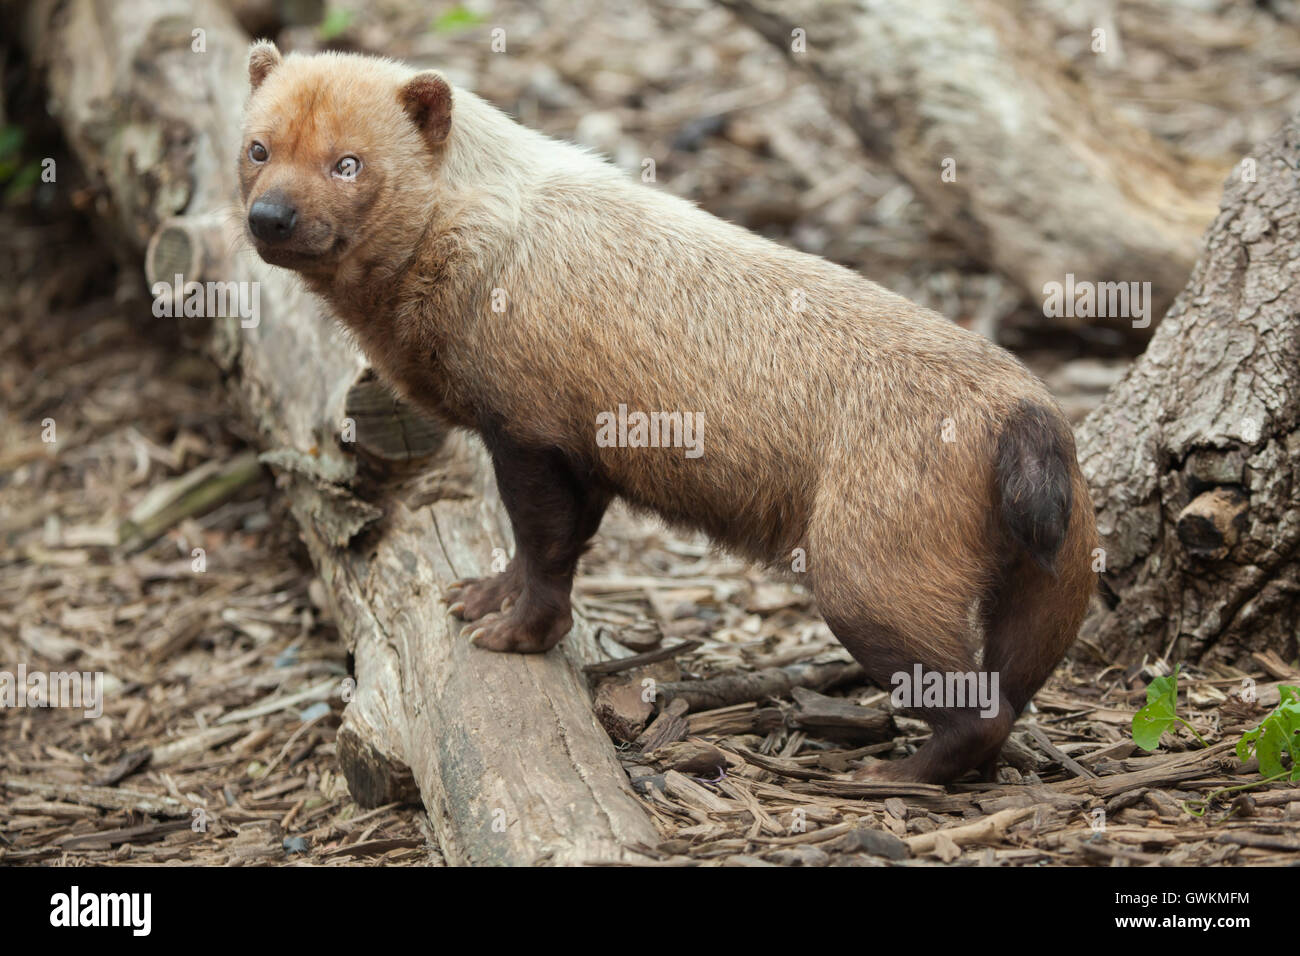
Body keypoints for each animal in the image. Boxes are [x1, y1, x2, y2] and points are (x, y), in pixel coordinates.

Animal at [241, 41, 1097, 780]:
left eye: (348, 163)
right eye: (257, 148)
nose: (270, 217)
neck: (479, 233)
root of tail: (1027, 418)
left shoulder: (529, 432)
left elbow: (546, 548)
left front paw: (515, 634)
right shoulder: (582, 451)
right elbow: (546, 545)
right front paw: (481, 594)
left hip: (865, 581)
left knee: (979, 710)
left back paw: (893, 775)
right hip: (1048, 590)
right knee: (1014, 692)